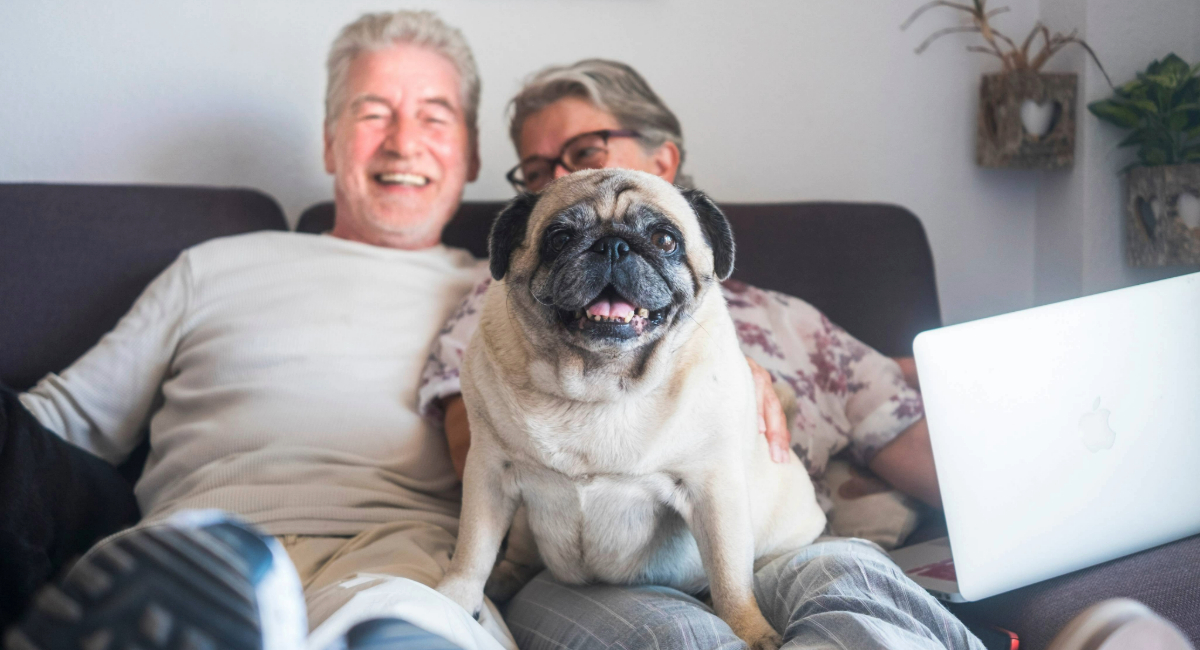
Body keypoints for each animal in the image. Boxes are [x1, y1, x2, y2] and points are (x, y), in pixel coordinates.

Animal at [439, 169, 825, 650]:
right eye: (559, 238)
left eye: (664, 240)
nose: (613, 245)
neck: (599, 385)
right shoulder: (489, 472)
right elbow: (473, 547)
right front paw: (454, 598)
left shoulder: (714, 491)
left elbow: (730, 577)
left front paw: (751, 631)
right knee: (515, 553)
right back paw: (504, 578)